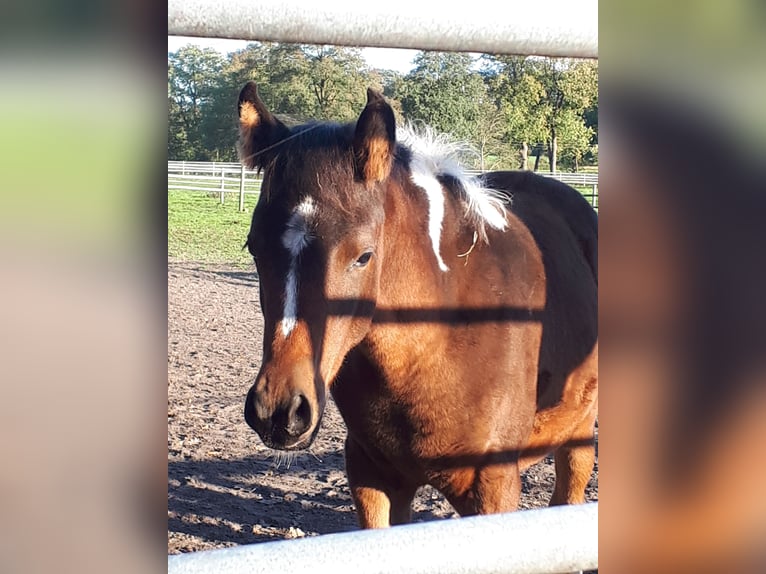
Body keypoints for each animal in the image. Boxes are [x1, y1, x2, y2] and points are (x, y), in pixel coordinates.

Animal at [240, 83, 600, 528]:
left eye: (364, 256)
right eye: (253, 248)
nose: (279, 410)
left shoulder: (493, 488)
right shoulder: (373, 475)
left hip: (579, 434)